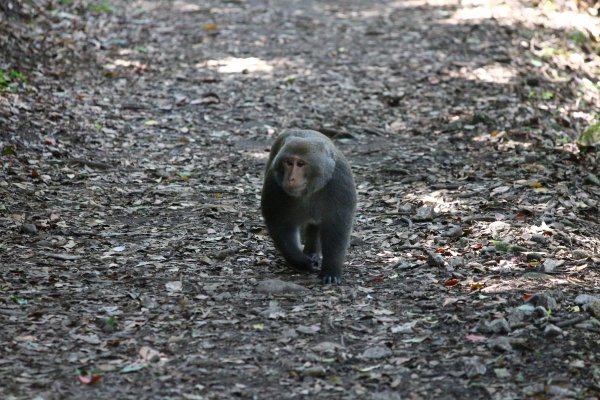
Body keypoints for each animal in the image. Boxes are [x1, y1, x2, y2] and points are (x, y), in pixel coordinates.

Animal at [258, 129, 354, 284]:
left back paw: (313, 252)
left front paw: (331, 271)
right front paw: (302, 262)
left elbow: (337, 227)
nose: (290, 179)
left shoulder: (340, 180)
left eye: (301, 164)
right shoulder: (274, 181)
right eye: (288, 162)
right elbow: (280, 224)